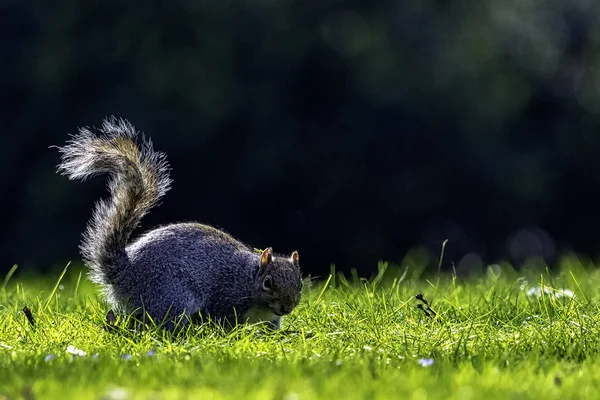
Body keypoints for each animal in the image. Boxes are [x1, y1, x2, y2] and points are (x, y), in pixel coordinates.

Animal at [54, 117, 302, 330]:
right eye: (267, 283)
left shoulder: (270, 321)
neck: (249, 280)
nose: (286, 308)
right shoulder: (226, 300)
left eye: (300, 284)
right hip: (172, 295)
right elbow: (226, 322)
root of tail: (124, 272)